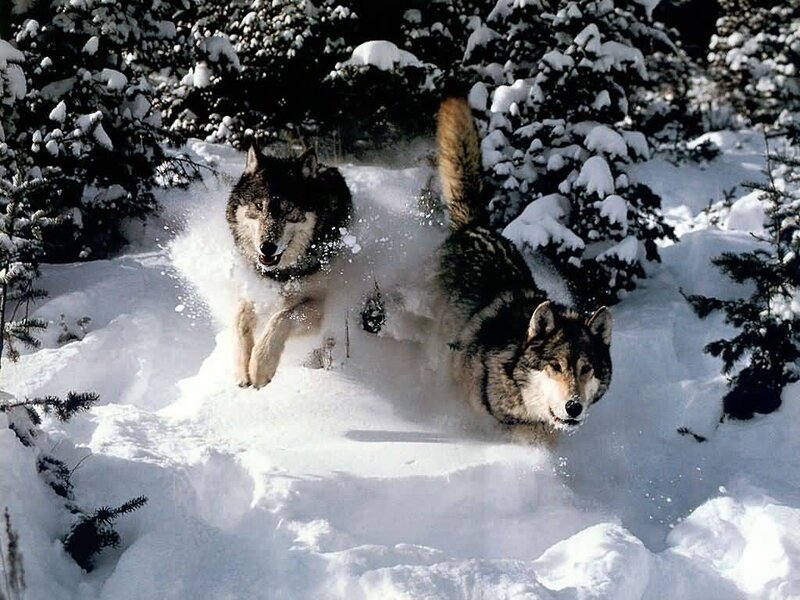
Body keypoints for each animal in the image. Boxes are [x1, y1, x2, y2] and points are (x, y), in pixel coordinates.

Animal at [226, 144, 352, 388]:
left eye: (289, 209)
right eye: (259, 206)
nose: (267, 247)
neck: (281, 274)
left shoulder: (318, 306)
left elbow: (280, 317)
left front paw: (260, 367)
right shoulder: (254, 292)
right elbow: (238, 321)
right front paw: (240, 369)